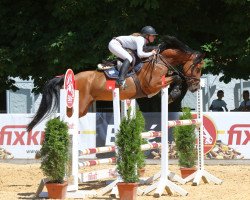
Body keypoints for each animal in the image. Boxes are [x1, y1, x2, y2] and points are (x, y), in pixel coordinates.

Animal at [26, 35, 203, 131]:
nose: (196, 87)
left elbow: (177, 76)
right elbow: (177, 77)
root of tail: (70, 77)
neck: (160, 61)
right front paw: (173, 94)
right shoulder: (152, 86)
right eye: (198, 67)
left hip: (85, 106)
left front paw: (173, 93)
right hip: (80, 104)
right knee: (63, 117)